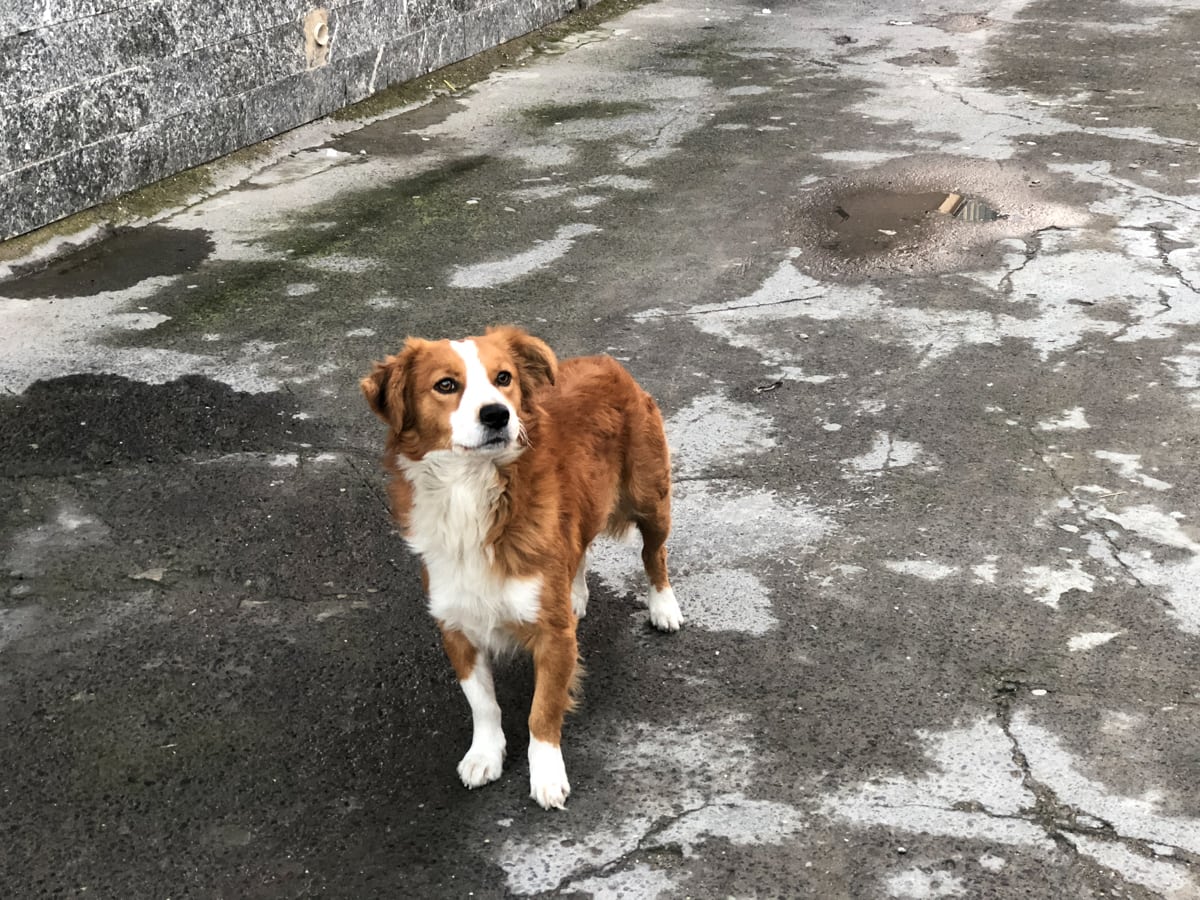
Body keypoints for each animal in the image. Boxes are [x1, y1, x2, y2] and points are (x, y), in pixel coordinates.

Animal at [357, 324, 686, 811]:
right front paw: (484, 754)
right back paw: (576, 594)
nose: (497, 414)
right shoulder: (457, 627)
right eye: (446, 385)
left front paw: (546, 774)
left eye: (504, 378)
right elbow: (482, 703)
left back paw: (663, 606)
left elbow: (542, 711)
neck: (471, 491)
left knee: (654, 555)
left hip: (650, 498)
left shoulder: (553, 637)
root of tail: (608, 362)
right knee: (581, 548)